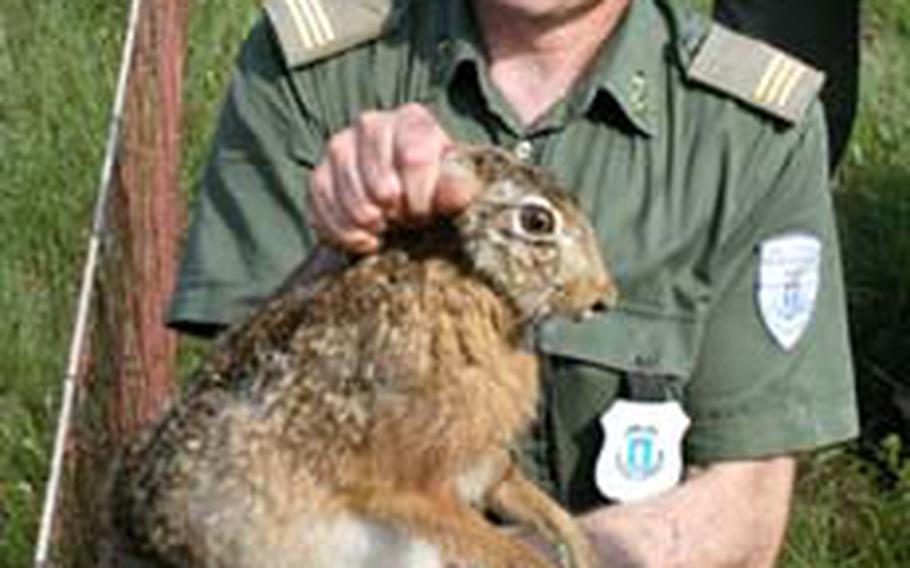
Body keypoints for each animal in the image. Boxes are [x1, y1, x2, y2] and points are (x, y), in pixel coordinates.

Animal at [108, 146, 620, 568]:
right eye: (537, 221)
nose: (604, 298)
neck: (473, 280)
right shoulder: (413, 486)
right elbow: (506, 552)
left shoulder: (481, 465)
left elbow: (534, 502)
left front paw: (582, 551)